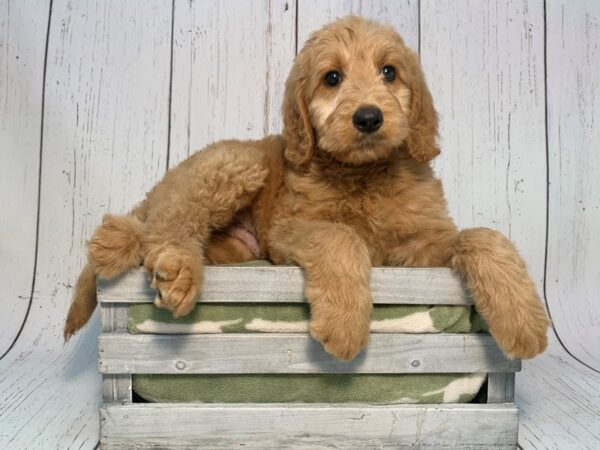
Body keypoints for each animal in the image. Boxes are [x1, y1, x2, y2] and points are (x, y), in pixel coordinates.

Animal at [65, 15, 548, 362]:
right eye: (332, 78)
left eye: (389, 72)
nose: (368, 118)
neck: (363, 174)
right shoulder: (289, 229)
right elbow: (340, 235)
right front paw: (346, 324)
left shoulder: (420, 249)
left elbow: (481, 236)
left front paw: (521, 319)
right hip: (235, 165)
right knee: (164, 228)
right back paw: (174, 267)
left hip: (238, 241)